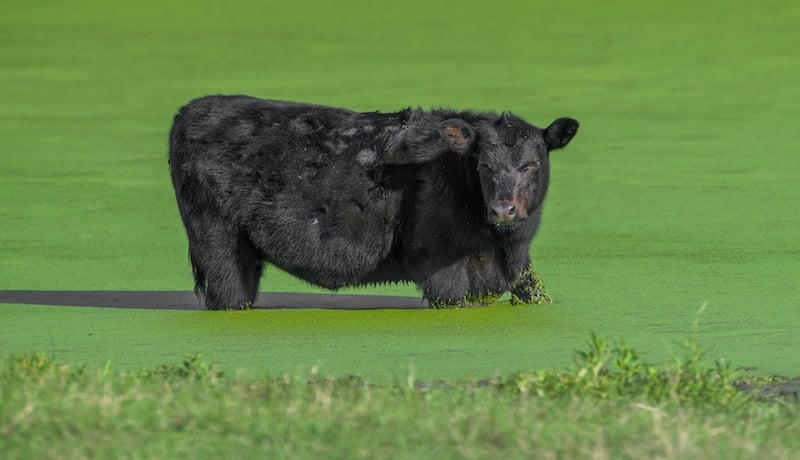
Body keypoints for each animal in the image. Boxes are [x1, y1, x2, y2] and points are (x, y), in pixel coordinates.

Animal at [169, 94, 580, 310]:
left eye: (532, 164)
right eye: (483, 165)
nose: (503, 209)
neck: (499, 244)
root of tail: (191, 109)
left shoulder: (516, 266)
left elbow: (537, 294)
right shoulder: (439, 265)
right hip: (219, 246)